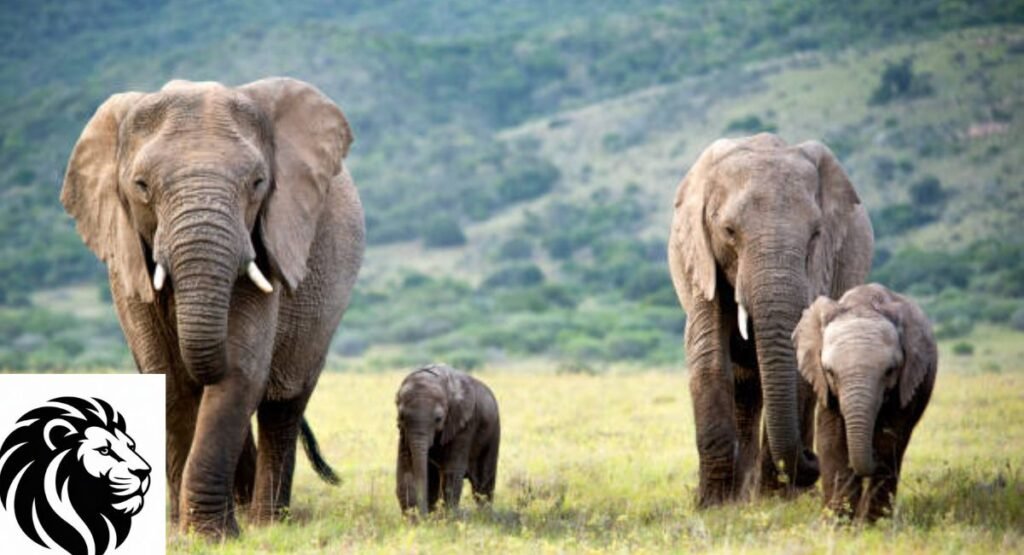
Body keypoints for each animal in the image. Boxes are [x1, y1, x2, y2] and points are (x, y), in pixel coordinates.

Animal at [59, 78, 365, 537]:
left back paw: (266, 524)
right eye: (141, 186)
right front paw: (181, 533)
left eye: (258, 183)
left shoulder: (267, 240)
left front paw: (211, 535)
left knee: (282, 404)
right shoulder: (126, 256)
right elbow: (167, 377)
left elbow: (240, 370)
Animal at [395, 364, 500, 517]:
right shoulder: (404, 431)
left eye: (438, 419)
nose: (424, 516)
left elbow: (451, 471)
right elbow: (406, 468)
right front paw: (415, 519)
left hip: (493, 431)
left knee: (483, 484)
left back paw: (485, 516)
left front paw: (448, 519)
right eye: (401, 417)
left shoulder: (464, 424)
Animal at [667, 133, 874, 506]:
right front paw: (712, 506)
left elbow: (803, 365)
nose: (812, 458)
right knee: (745, 383)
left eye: (816, 234)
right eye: (729, 231)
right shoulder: (700, 258)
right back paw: (739, 498)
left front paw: (775, 502)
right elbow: (708, 357)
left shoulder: (822, 267)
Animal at [793, 283, 937, 521]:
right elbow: (832, 441)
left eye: (890, 371)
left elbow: (889, 441)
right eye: (830, 372)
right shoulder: (826, 390)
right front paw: (838, 522)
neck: (863, 303)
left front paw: (873, 524)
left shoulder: (905, 385)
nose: (873, 457)